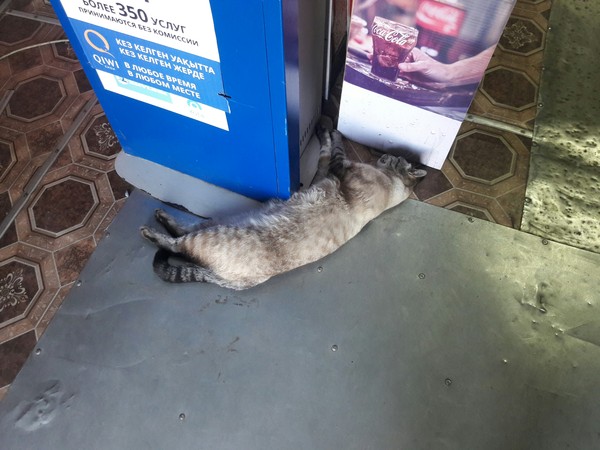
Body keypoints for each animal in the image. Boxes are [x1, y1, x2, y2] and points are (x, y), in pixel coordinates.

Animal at [139, 129, 426, 292]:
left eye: (395, 159)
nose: (383, 155)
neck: (393, 183)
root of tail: (228, 280)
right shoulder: (324, 172)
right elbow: (326, 148)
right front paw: (327, 127)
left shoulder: (339, 167)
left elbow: (335, 145)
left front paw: (330, 128)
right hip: (217, 223)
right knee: (182, 230)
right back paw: (162, 217)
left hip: (213, 233)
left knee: (176, 245)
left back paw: (150, 230)